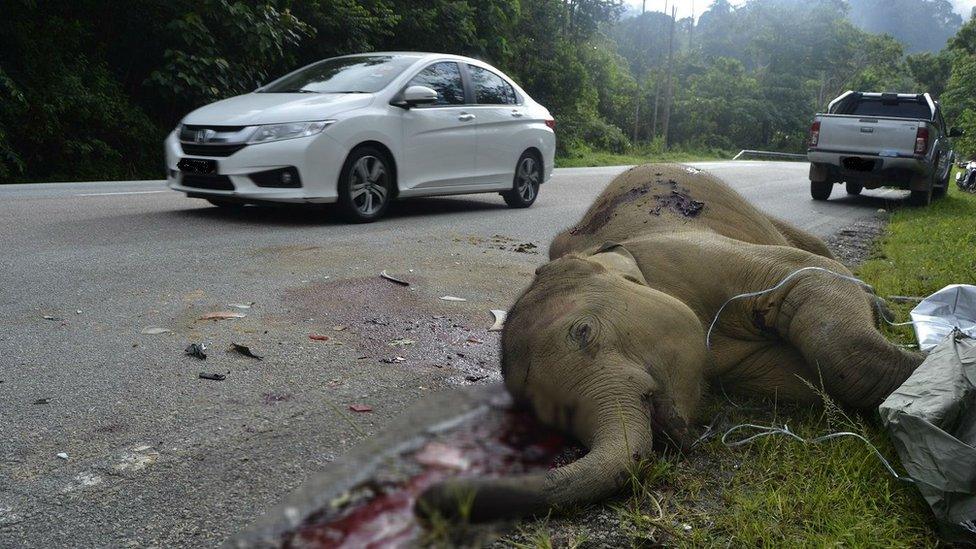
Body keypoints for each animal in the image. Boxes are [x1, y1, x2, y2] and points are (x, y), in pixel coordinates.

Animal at [416, 164, 920, 524]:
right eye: (551, 415)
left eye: (584, 333)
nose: (426, 503)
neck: (597, 253)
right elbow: (808, 381)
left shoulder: (685, 253)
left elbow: (811, 282)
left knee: (822, 254)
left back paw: (882, 307)